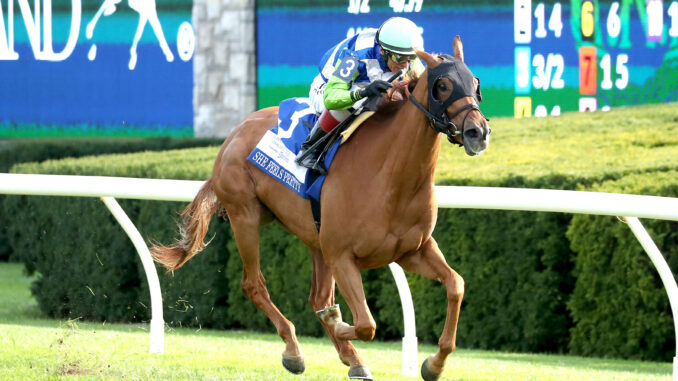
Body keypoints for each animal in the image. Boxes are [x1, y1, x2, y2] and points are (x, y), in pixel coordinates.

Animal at [153, 36, 492, 380]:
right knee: (254, 285)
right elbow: (366, 324)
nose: (478, 132)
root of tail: (233, 134)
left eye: (475, 82)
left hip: (315, 238)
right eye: (443, 85)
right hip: (245, 216)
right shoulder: (342, 255)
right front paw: (336, 322)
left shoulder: (413, 250)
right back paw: (295, 350)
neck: (391, 176)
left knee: (317, 296)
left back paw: (352, 359)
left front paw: (434, 364)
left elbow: (456, 285)